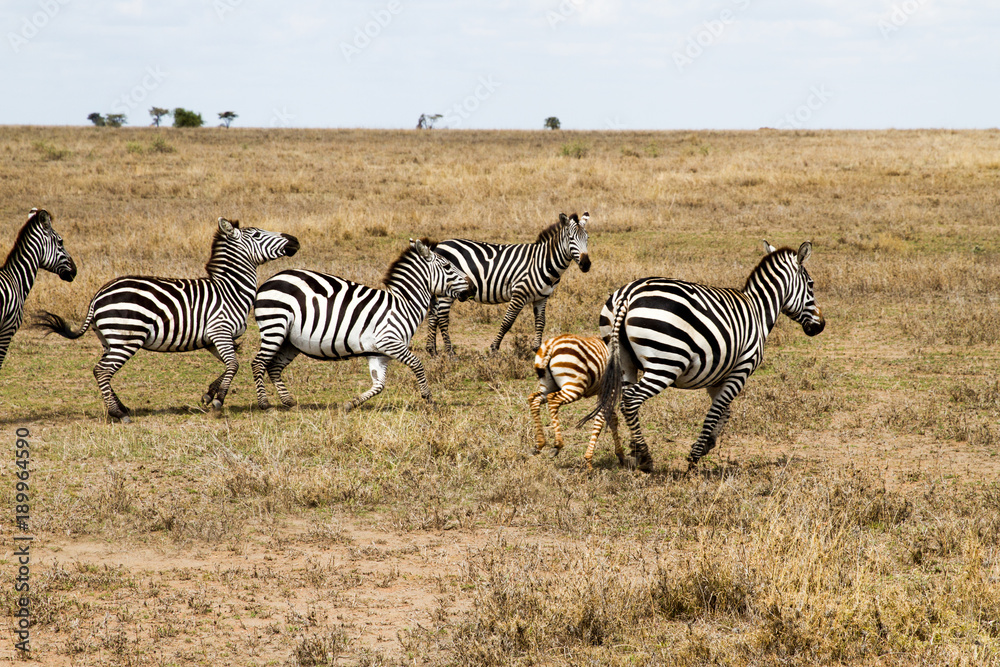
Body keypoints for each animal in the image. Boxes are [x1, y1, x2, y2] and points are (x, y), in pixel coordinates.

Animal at [36, 217, 299, 422]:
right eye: (257, 234)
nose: (295, 240)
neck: (230, 290)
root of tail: (98, 295)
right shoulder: (220, 331)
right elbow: (233, 365)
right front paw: (218, 402)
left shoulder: (212, 340)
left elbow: (229, 365)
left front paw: (209, 394)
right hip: (126, 339)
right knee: (102, 371)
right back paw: (118, 414)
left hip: (110, 339)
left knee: (100, 371)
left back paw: (121, 408)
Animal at [252, 238, 474, 412]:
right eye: (448, 266)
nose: (472, 287)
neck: (404, 305)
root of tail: (270, 280)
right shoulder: (389, 342)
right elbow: (417, 364)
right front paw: (429, 399)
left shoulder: (379, 353)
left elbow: (379, 385)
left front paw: (351, 403)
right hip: (275, 326)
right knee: (258, 363)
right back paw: (264, 404)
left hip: (290, 340)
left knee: (274, 366)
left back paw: (288, 401)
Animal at [426, 212, 590, 356]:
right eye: (570, 238)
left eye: (587, 238)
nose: (586, 264)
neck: (542, 261)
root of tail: (439, 245)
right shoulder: (519, 293)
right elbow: (507, 322)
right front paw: (494, 348)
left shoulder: (542, 297)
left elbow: (540, 322)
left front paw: (538, 349)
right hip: (446, 291)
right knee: (442, 318)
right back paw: (450, 352)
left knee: (434, 315)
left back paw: (432, 351)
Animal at [529, 333, 623, 470]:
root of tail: (551, 345)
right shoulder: (610, 390)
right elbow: (601, 421)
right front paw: (589, 461)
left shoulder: (603, 392)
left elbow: (612, 418)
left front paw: (621, 455)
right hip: (575, 386)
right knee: (553, 400)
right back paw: (557, 445)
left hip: (548, 385)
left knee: (534, 399)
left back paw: (539, 444)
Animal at [586, 241, 825, 472]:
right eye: (811, 284)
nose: (821, 326)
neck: (758, 311)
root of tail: (627, 294)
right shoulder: (742, 369)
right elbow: (716, 411)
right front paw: (695, 455)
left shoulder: (718, 375)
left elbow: (724, 412)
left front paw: (708, 444)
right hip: (666, 363)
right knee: (631, 399)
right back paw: (645, 458)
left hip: (624, 361)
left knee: (623, 401)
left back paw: (634, 450)